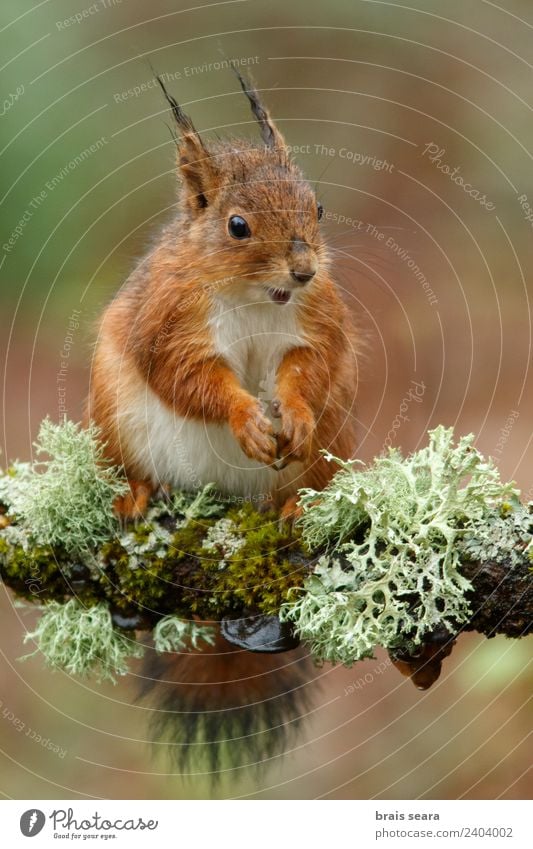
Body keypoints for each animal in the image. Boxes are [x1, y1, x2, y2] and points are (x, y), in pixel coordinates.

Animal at [87, 73, 360, 520]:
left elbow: (312, 363)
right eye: (237, 226)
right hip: (113, 422)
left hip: (330, 438)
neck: (253, 295)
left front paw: (297, 414)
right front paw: (245, 417)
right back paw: (136, 493)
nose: (305, 272)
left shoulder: (318, 316)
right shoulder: (168, 319)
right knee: (128, 469)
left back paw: (301, 507)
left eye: (317, 208)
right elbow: (184, 373)